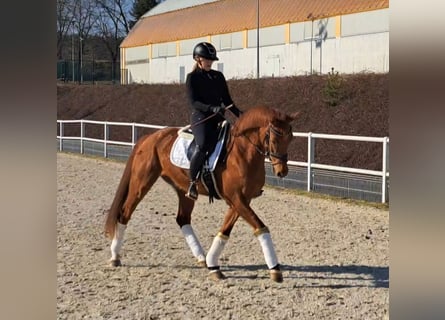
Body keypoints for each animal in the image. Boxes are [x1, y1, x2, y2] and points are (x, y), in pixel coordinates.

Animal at [103, 105, 298, 282]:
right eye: (275, 138)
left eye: (290, 138)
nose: (282, 171)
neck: (241, 152)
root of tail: (150, 137)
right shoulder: (236, 199)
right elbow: (261, 227)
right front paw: (275, 269)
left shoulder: (242, 200)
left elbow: (225, 231)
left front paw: (213, 265)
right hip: (142, 183)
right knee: (125, 213)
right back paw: (115, 256)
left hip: (183, 190)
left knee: (182, 219)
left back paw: (202, 258)